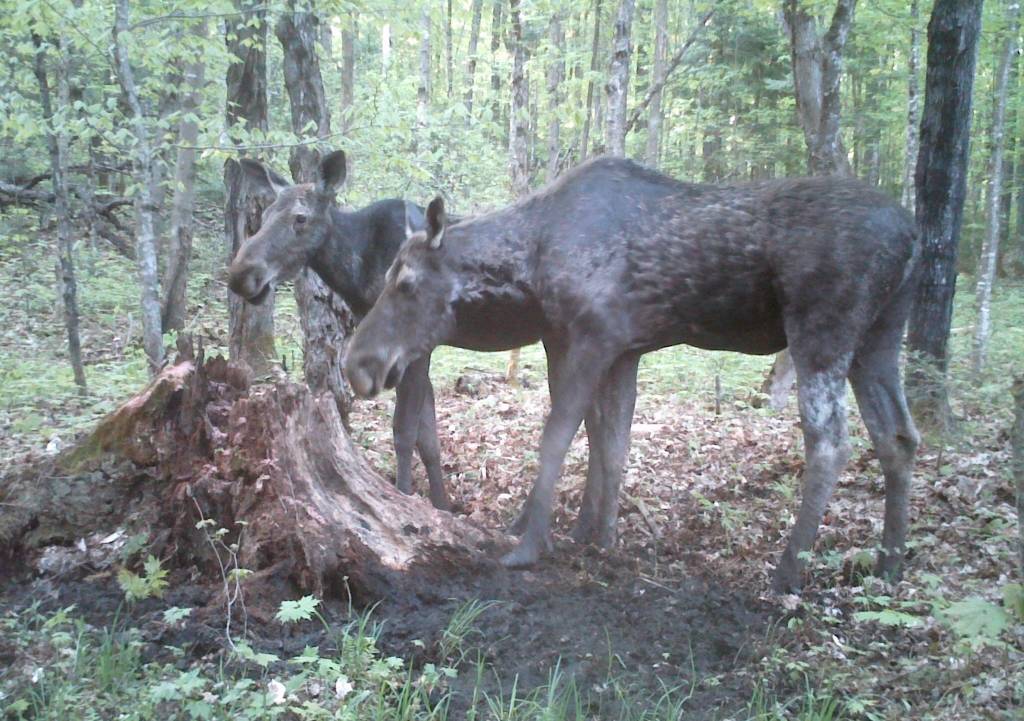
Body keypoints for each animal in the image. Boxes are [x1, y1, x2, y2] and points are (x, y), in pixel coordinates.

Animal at [228, 151, 452, 510]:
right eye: (263, 215)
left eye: (301, 218)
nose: (241, 274)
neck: (358, 270)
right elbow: (428, 437)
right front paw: (442, 506)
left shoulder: (415, 346)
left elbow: (404, 431)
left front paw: (403, 498)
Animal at [344, 157, 921, 589]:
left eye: (405, 282)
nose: (355, 364)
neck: (530, 256)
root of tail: (914, 238)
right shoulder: (625, 350)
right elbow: (612, 443)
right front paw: (602, 538)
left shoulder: (592, 338)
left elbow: (557, 437)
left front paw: (530, 545)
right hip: (879, 338)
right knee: (898, 436)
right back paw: (889, 563)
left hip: (821, 333)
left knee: (831, 443)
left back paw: (788, 572)